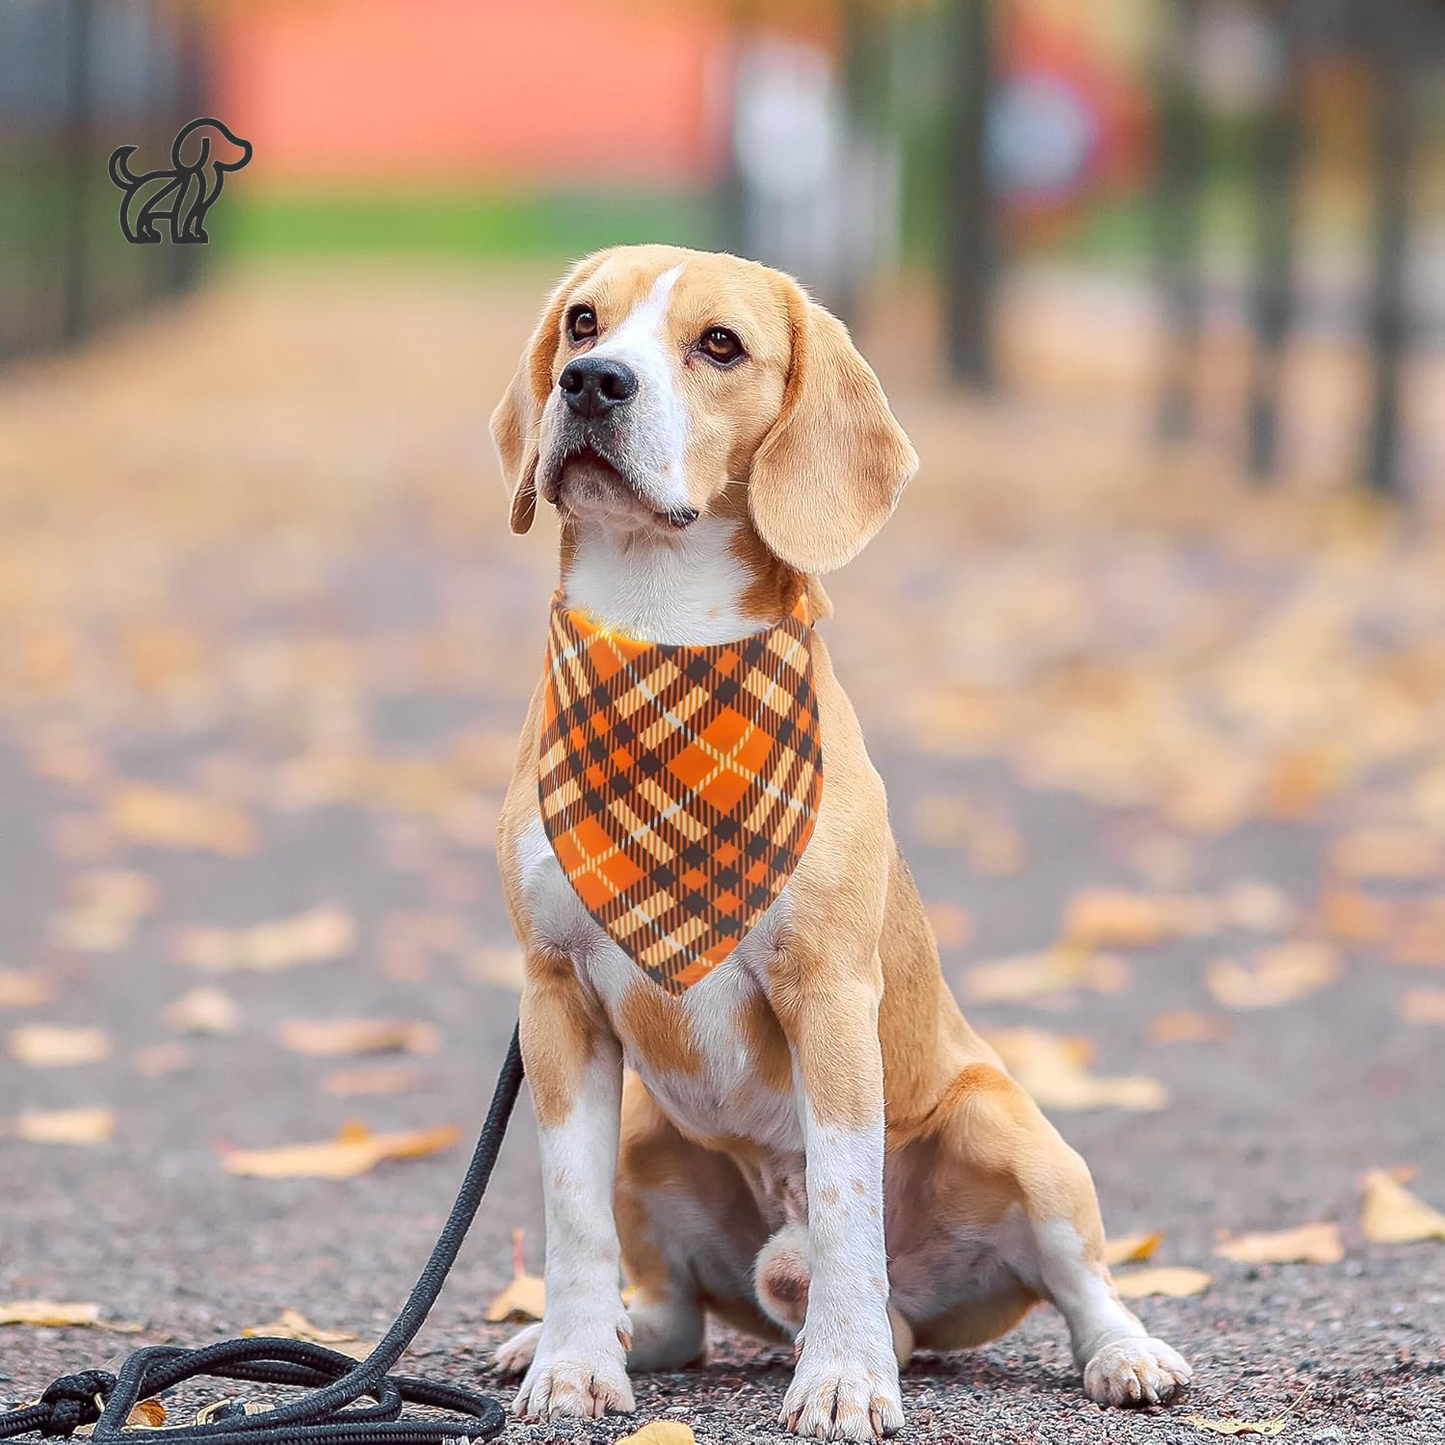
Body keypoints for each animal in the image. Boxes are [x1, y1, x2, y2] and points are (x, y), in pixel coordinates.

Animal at [485, 242, 1184, 1439]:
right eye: (582, 322)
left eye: (720, 344)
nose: (591, 384)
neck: (662, 632)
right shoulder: (555, 1002)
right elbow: (572, 1217)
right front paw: (573, 1363)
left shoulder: (829, 998)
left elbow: (846, 1207)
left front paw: (847, 1375)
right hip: (645, 1137)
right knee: (673, 1316)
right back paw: (614, 1338)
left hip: (1010, 1130)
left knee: (1078, 1283)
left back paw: (1122, 1354)